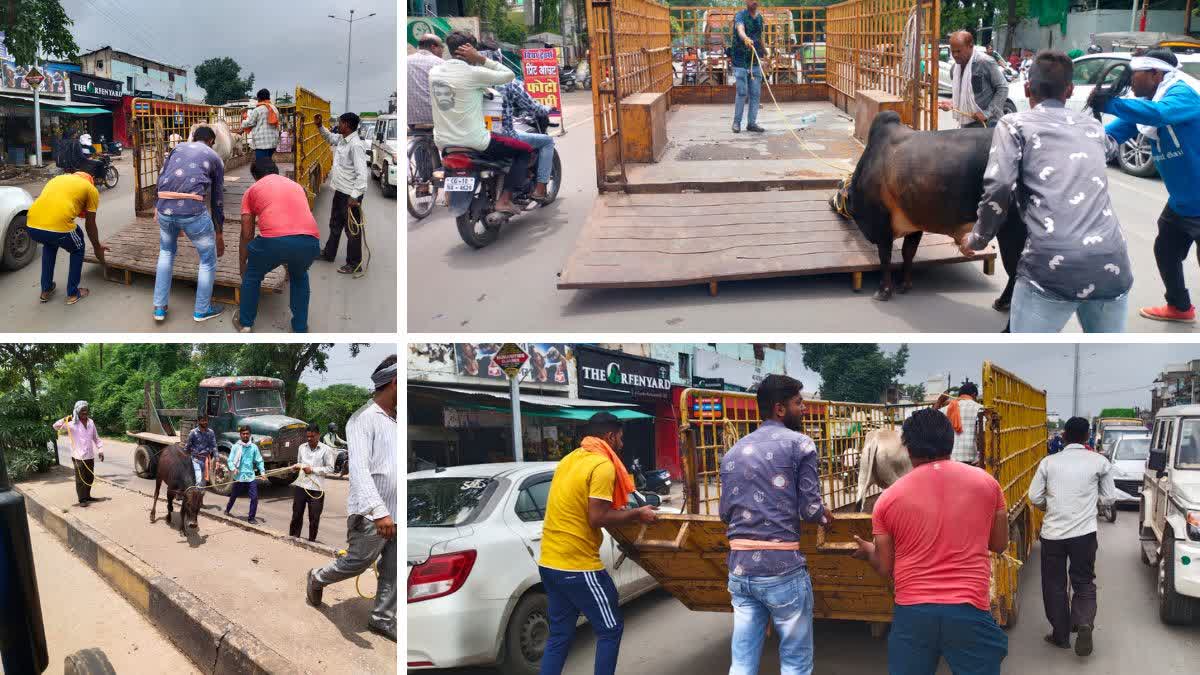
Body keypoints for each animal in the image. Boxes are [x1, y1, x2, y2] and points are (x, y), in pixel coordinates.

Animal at [835, 112, 1022, 302]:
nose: (831, 202)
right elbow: (908, 253)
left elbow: (885, 257)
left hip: (1012, 231)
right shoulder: (914, 222)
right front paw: (905, 285)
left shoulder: (881, 224)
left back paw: (1001, 303)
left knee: (1015, 271)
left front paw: (883, 292)